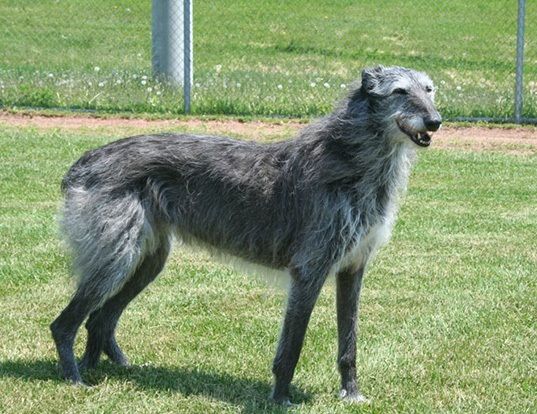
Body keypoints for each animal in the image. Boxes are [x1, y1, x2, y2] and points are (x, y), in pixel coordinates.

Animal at [50, 64, 440, 404]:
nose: (435, 121)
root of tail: (83, 163)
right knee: (65, 323)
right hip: (116, 256)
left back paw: (107, 367)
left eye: (429, 89)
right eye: (400, 91)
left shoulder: (353, 268)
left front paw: (351, 393)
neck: (352, 157)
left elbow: (349, 343)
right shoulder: (309, 271)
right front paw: (280, 398)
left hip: (146, 260)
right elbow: (292, 346)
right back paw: (75, 378)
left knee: (99, 319)